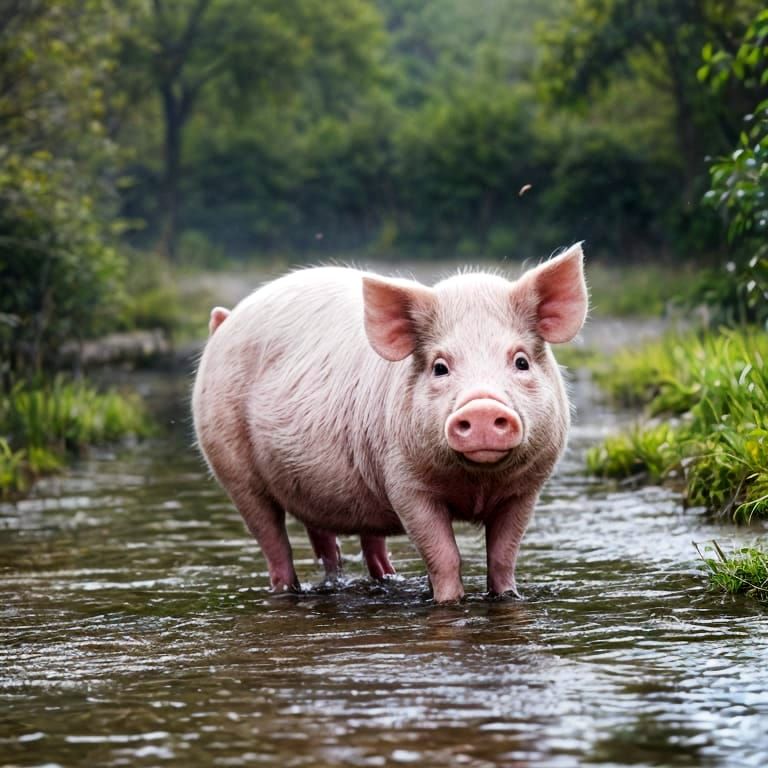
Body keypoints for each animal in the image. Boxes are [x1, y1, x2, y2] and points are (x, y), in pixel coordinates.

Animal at [192, 243, 588, 602]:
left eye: (521, 361)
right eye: (440, 366)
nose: (481, 409)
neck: (476, 484)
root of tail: (225, 321)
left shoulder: (527, 487)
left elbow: (504, 556)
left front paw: (508, 597)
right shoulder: (406, 483)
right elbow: (444, 555)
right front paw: (448, 602)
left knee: (339, 539)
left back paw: (383, 578)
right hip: (231, 465)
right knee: (273, 540)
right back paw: (287, 590)